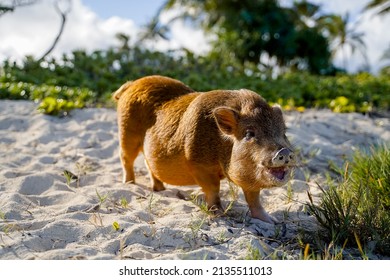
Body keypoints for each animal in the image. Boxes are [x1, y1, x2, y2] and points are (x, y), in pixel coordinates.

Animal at [112, 75, 296, 224]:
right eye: (249, 133)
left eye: (284, 132)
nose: (284, 152)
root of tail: (131, 84)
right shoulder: (199, 165)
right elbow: (213, 190)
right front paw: (219, 215)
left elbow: (254, 198)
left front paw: (272, 221)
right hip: (127, 132)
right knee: (126, 158)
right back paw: (129, 183)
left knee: (148, 164)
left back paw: (160, 189)